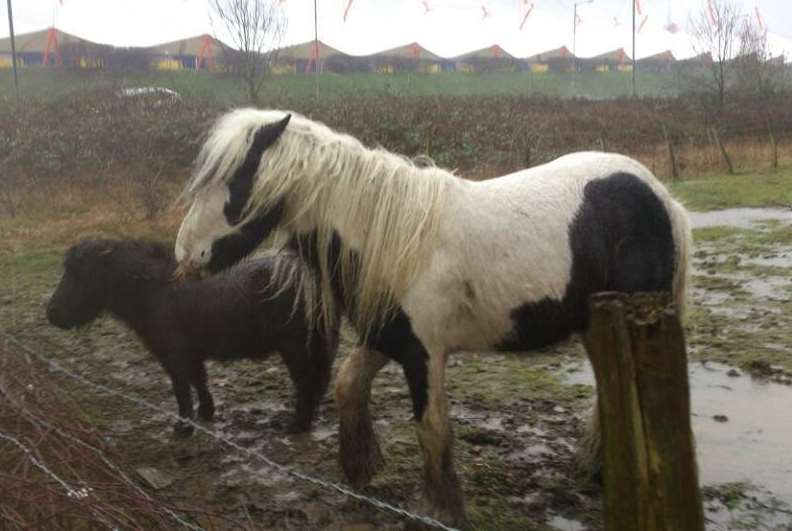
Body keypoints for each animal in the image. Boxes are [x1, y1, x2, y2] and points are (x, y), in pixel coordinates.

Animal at [46, 241, 338, 436]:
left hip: (296, 348)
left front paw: (183, 427)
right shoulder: (192, 354)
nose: (51, 313)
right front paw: (206, 413)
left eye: (80, 274)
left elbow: (181, 390)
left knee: (306, 383)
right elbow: (199, 381)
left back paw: (297, 425)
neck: (157, 292)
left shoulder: (173, 356)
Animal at [175, 109, 692, 528]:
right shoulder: (387, 338)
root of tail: (657, 193)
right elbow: (347, 385)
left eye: (237, 180)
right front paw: (361, 468)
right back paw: (595, 467)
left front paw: (440, 509)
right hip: (595, 324)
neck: (390, 234)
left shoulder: (424, 353)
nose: (185, 254)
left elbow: (432, 426)